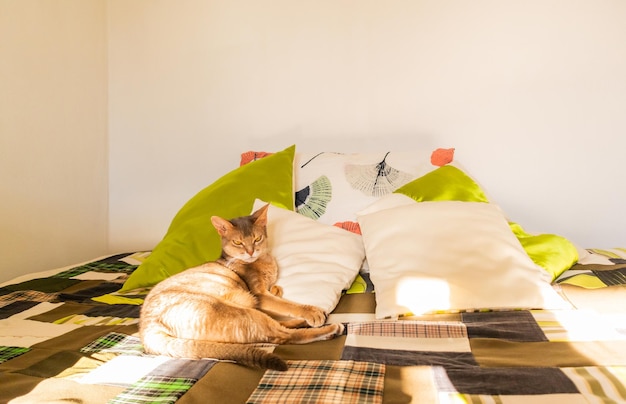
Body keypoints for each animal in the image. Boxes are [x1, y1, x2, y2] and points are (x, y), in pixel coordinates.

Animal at [139, 204, 344, 370]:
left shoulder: (259, 296)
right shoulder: (258, 294)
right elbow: (287, 305)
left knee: (276, 328)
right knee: (282, 335)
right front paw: (311, 312)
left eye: (257, 238)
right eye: (238, 242)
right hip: (235, 311)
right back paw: (329, 328)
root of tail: (147, 329)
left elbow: (276, 297)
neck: (263, 261)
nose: (250, 251)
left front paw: (278, 291)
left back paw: (301, 323)